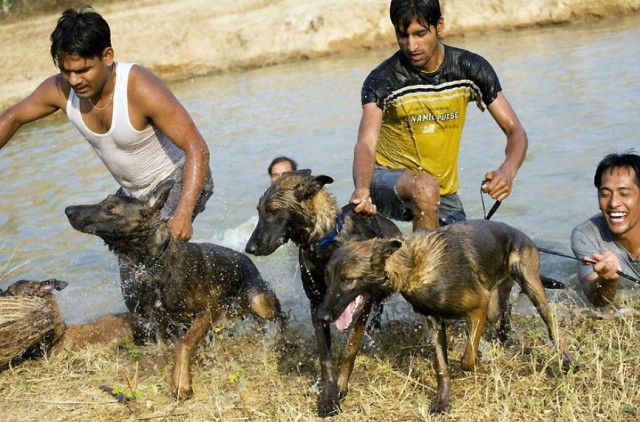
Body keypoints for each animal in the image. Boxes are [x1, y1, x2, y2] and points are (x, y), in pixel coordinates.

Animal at [65, 181, 284, 398]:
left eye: (110, 209)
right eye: (105, 201)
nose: (68, 210)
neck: (152, 263)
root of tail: (247, 259)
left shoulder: (208, 311)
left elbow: (184, 344)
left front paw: (181, 382)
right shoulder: (160, 320)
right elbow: (167, 345)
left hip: (259, 302)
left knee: (279, 313)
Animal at [245, 170, 400, 418]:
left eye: (274, 211)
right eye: (259, 211)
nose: (248, 249)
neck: (322, 246)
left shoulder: (361, 303)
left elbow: (348, 350)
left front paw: (341, 386)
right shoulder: (318, 306)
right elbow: (325, 357)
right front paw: (329, 396)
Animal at [320, 219, 580, 414]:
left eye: (347, 280)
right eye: (327, 277)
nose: (321, 317)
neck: (413, 265)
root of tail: (519, 233)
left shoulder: (479, 306)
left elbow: (467, 359)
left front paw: (471, 364)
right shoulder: (434, 320)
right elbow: (441, 365)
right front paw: (443, 401)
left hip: (529, 285)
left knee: (552, 325)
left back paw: (568, 361)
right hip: (495, 306)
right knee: (505, 311)